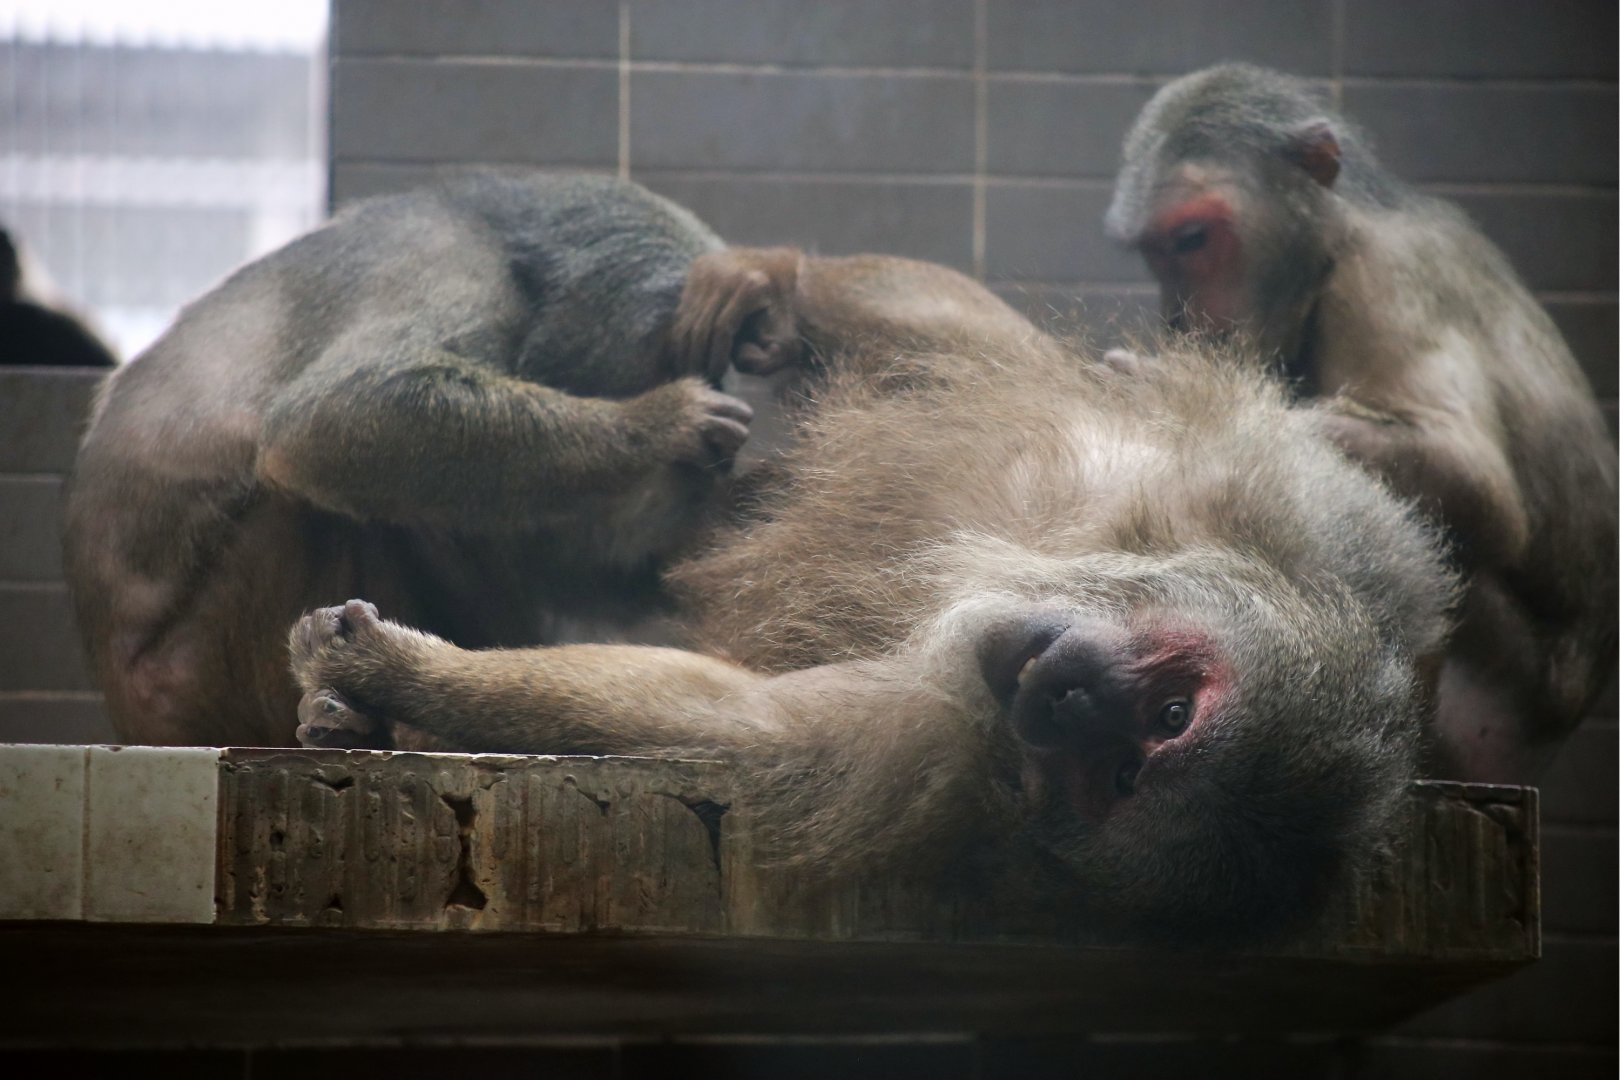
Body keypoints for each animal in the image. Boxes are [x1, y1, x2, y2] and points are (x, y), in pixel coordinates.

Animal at [62, 172, 794, 747]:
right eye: (688, 358)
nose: (714, 387)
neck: (513, 252)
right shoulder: (461, 273)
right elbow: (332, 419)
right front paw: (665, 422)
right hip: (203, 674)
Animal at [286, 247, 1459, 941]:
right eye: (1175, 710)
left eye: (1125, 771)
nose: (1068, 699)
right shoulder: (1253, 495)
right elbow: (980, 348)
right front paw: (772, 287)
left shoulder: (965, 748)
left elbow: (751, 725)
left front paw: (406, 671)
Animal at [1104, 64, 1618, 782]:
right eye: (1156, 251)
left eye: (1192, 240)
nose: (1182, 315)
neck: (1332, 240)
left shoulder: (1383, 276)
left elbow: (1473, 478)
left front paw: (1167, 399)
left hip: (1489, 710)